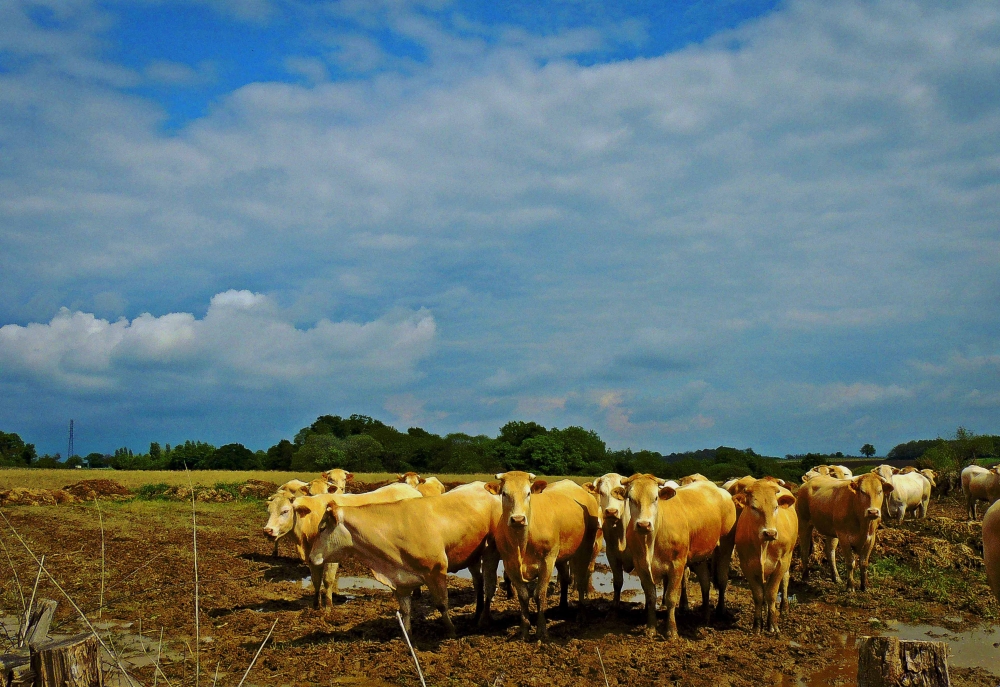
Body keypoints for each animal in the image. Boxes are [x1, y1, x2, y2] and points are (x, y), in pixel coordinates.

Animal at [310, 482, 498, 636]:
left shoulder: (436, 572)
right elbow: (405, 609)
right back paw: (477, 613)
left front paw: (451, 630)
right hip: (472, 556)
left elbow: (442, 604)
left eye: (322, 528)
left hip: (488, 552)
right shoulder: (400, 581)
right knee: (478, 582)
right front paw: (407, 634)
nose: (311, 557)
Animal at [486, 470, 596, 644]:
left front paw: (541, 631)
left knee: (580, 580)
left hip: (584, 549)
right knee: (565, 578)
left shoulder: (547, 562)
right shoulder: (510, 564)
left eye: (528, 493)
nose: (518, 519)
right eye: (504, 493)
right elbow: (523, 596)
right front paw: (524, 630)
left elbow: (539, 594)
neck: (522, 542)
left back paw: (581, 615)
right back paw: (563, 606)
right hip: (562, 556)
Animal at [620, 472, 740, 640]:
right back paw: (705, 616)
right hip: (699, 557)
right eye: (630, 498)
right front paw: (651, 628)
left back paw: (720, 611)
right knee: (705, 582)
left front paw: (671, 631)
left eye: (655, 498)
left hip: (725, 548)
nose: (643, 524)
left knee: (722, 580)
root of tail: (720, 490)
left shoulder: (677, 565)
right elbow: (650, 597)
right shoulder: (641, 566)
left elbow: (670, 598)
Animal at [728, 478, 796, 636]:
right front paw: (757, 625)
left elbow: (771, 593)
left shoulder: (781, 564)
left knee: (785, 579)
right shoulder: (747, 566)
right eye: (754, 507)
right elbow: (759, 595)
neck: (763, 545)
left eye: (776, 507)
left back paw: (784, 607)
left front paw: (772, 624)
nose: (770, 533)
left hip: (788, 557)